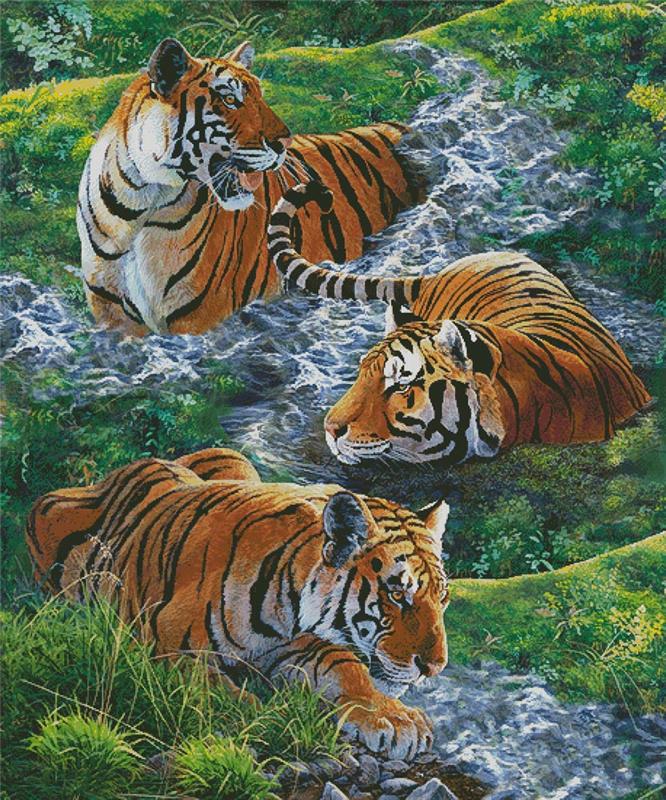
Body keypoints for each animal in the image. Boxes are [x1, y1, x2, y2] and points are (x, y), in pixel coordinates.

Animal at [26, 447, 450, 758]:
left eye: (442, 598)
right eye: (397, 593)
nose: (435, 667)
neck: (287, 608)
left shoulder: (297, 647)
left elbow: (347, 669)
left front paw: (394, 719)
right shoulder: (161, 643)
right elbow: (216, 688)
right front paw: (265, 720)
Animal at [77, 37, 417, 336]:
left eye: (260, 96)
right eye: (230, 99)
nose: (284, 142)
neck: (144, 198)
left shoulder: (200, 317)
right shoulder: (114, 316)